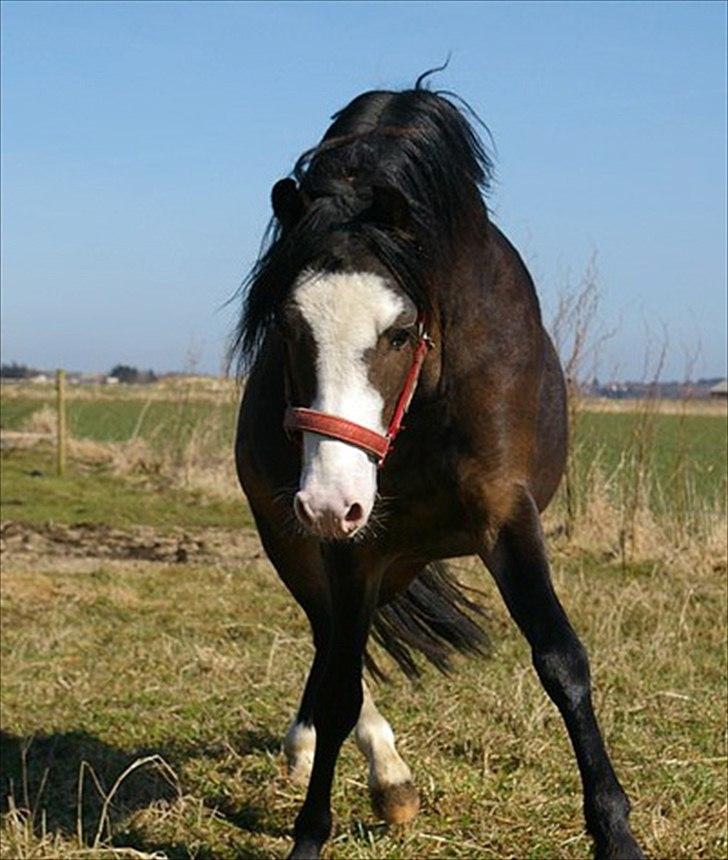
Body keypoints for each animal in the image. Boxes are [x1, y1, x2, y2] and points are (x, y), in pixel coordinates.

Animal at [235, 75, 644, 860]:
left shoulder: (506, 512)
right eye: (288, 328)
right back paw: (372, 769)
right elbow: (341, 683)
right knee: (333, 645)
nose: (329, 501)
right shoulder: (351, 546)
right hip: (296, 544)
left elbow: (562, 661)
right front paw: (313, 831)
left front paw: (616, 832)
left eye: (399, 331)